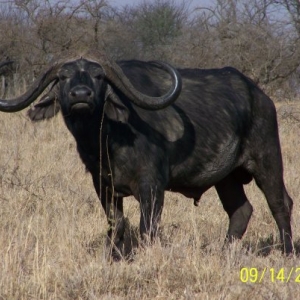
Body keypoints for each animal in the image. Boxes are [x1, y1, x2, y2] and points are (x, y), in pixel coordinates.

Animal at [0, 50, 292, 256]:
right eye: (62, 77)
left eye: (99, 77)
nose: (81, 95)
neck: (107, 140)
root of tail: (261, 97)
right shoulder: (102, 185)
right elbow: (116, 223)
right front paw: (113, 257)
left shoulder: (152, 186)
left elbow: (147, 228)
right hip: (227, 178)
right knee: (240, 211)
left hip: (267, 160)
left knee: (280, 203)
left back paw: (287, 252)